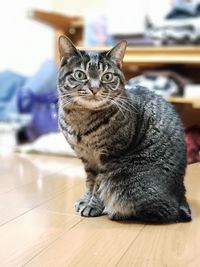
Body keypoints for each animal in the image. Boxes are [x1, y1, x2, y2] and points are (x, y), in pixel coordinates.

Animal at [57, 35, 191, 224]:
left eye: (107, 76)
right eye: (80, 74)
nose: (94, 88)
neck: (81, 119)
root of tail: (181, 196)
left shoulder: (108, 157)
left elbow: (99, 186)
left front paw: (93, 205)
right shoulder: (87, 159)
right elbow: (90, 182)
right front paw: (86, 199)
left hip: (125, 179)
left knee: (166, 212)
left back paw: (116, 211)